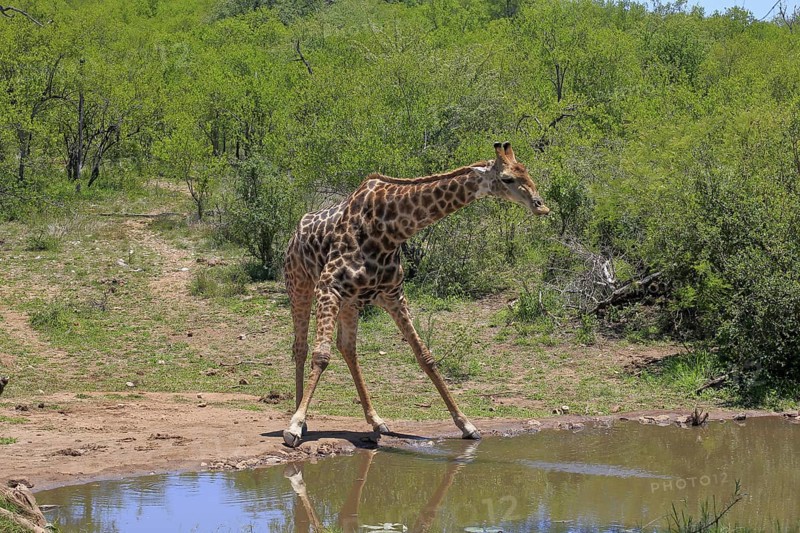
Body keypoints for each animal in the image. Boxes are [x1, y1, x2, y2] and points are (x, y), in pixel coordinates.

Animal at [282, 142, 549, 448]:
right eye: (507, 178)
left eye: (526, 172)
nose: (541, 205)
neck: (390, 229)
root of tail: (294, 233)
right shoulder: (328, 286)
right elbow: (321, 356)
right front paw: (294, 426)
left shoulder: (393, 295)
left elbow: (425, 356)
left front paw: (466, 424)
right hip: (300, 285)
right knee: (301, 347)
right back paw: (302, 418)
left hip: (352, 302)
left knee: (348, 348)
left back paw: (376, 421)